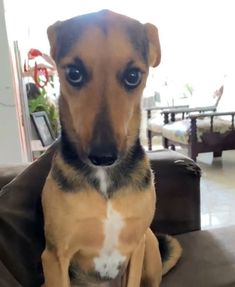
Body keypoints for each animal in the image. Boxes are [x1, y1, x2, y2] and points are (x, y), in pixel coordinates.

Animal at [41, 9, 181, 287]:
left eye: (133, 76)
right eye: (74, 73)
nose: (103, 156)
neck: (105, 180)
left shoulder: (137, 246)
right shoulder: (54, 256)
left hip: (151, 243)